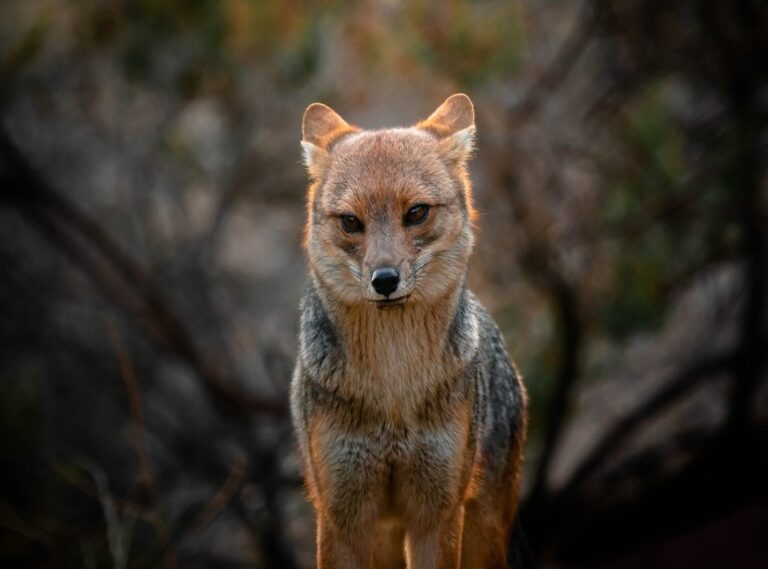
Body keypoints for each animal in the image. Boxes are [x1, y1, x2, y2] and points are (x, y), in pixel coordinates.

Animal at [291, 93, 528, 569]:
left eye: (415, 213)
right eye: (351, 222)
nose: (385, 280)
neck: (393, 387)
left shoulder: (436, 516)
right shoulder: (341, 519)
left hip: (483, 534)